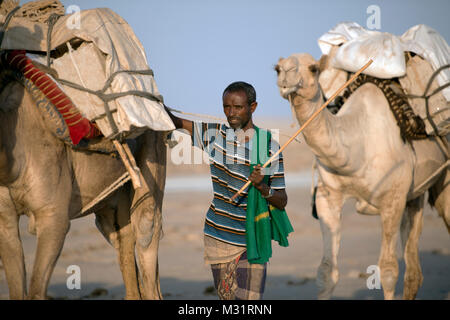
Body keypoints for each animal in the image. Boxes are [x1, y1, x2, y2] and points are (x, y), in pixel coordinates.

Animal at [0, 66, 167, 298]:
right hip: (110, 208)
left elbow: (36, 291)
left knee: (146, 231)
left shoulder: (53, 218)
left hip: (151, 158)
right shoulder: (5, 220)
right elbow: (17, 291)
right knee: (123, 241)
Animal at [274, 53, 450, 300]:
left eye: (313, 68)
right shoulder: (327, 198)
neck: (356, 145)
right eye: (277, 68)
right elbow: (326, 272)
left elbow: (388, 270)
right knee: (414, 268)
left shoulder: (392, 201)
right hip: (415, 195)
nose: (285, 78)